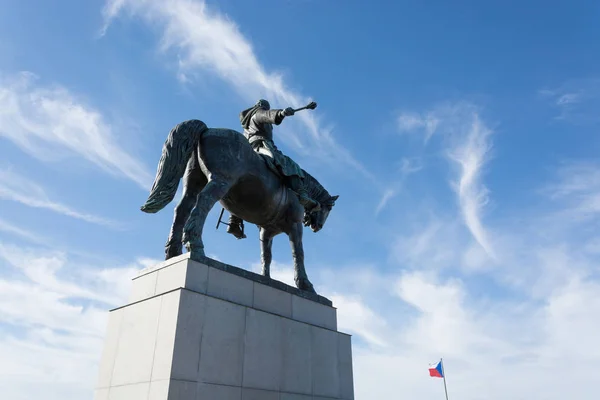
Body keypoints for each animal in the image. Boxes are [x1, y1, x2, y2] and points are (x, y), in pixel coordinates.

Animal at [139, 119, 338, 294]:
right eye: (328, 209)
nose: (317, 226)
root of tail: (208, 129)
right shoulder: (295, 226)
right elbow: (298, 253)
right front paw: (305, 284)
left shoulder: (266, 232)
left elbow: (266, 256)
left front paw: (266, 278)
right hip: (220, 182)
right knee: (202, 204)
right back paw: (195, 245)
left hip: (193, 182)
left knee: (182, 209)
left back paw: (173, 251)